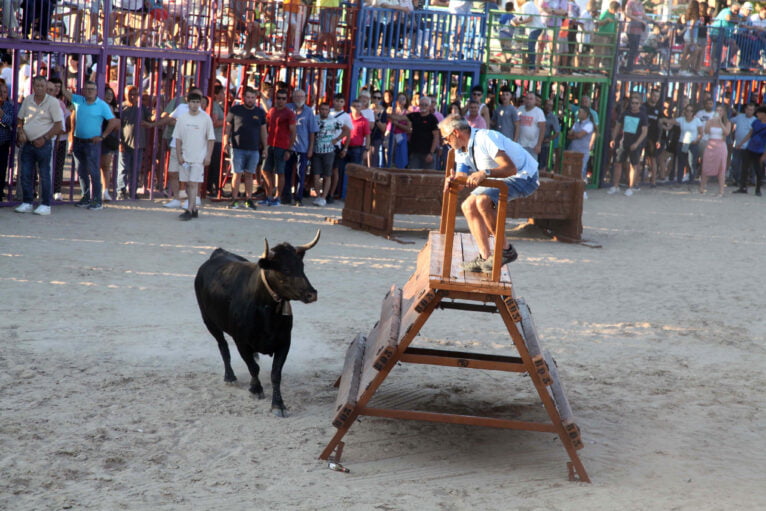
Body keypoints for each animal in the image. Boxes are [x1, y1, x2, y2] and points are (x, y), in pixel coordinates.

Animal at [198, 230, 320, 418]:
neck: (266, 312)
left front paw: (278, 404)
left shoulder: (284, 342)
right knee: (223, 346)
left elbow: (276, 374)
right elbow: (253, 368)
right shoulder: (241, 342)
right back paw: (230, 377)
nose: (312, 294)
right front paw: (255, 389)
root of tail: (218, 254)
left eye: (302, 266)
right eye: (285, 268)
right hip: (209, 321)